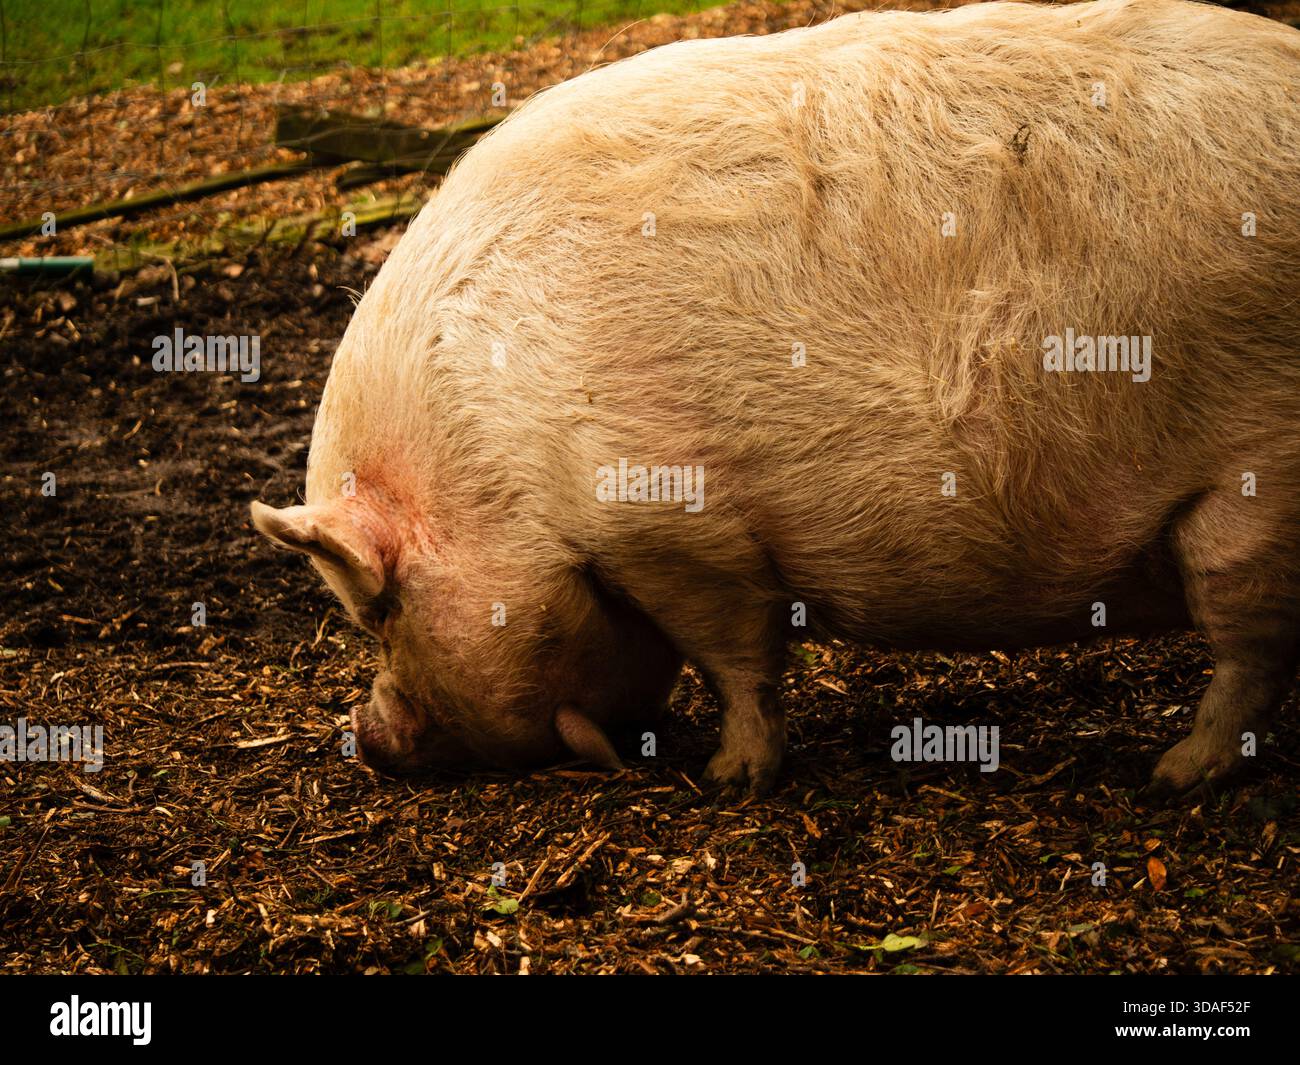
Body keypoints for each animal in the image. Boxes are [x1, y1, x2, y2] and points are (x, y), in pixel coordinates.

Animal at [252, 0, 1299, 796]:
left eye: (378, 611)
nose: (368, 736)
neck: (499, 474)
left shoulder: (676, 527)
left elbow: (738, 658)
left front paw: (729, 779)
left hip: (1253, 495)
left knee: (1249, 653)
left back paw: (1171, 775)